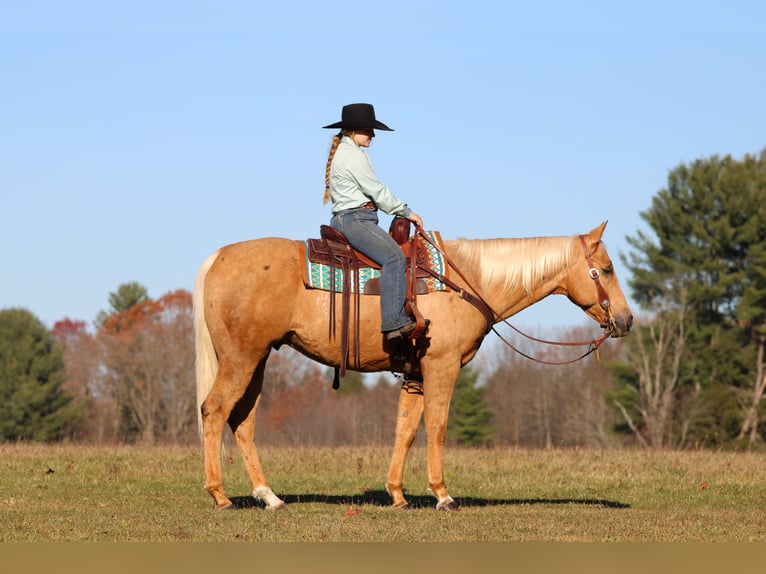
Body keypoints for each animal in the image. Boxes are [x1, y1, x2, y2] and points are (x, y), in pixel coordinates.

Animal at [193, 221, 633, 511]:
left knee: (243, 421)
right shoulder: (443, 367)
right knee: (214, 411)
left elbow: (404, 430)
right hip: (241, 359)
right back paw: (220, 495)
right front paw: (442, 494)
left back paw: (269, 496)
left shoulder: (416, 374)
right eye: (608, 269)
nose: (626, 320)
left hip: (258, 359)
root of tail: (217, 258)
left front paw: (398, 494)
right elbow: (436, 428)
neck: (467, 282)